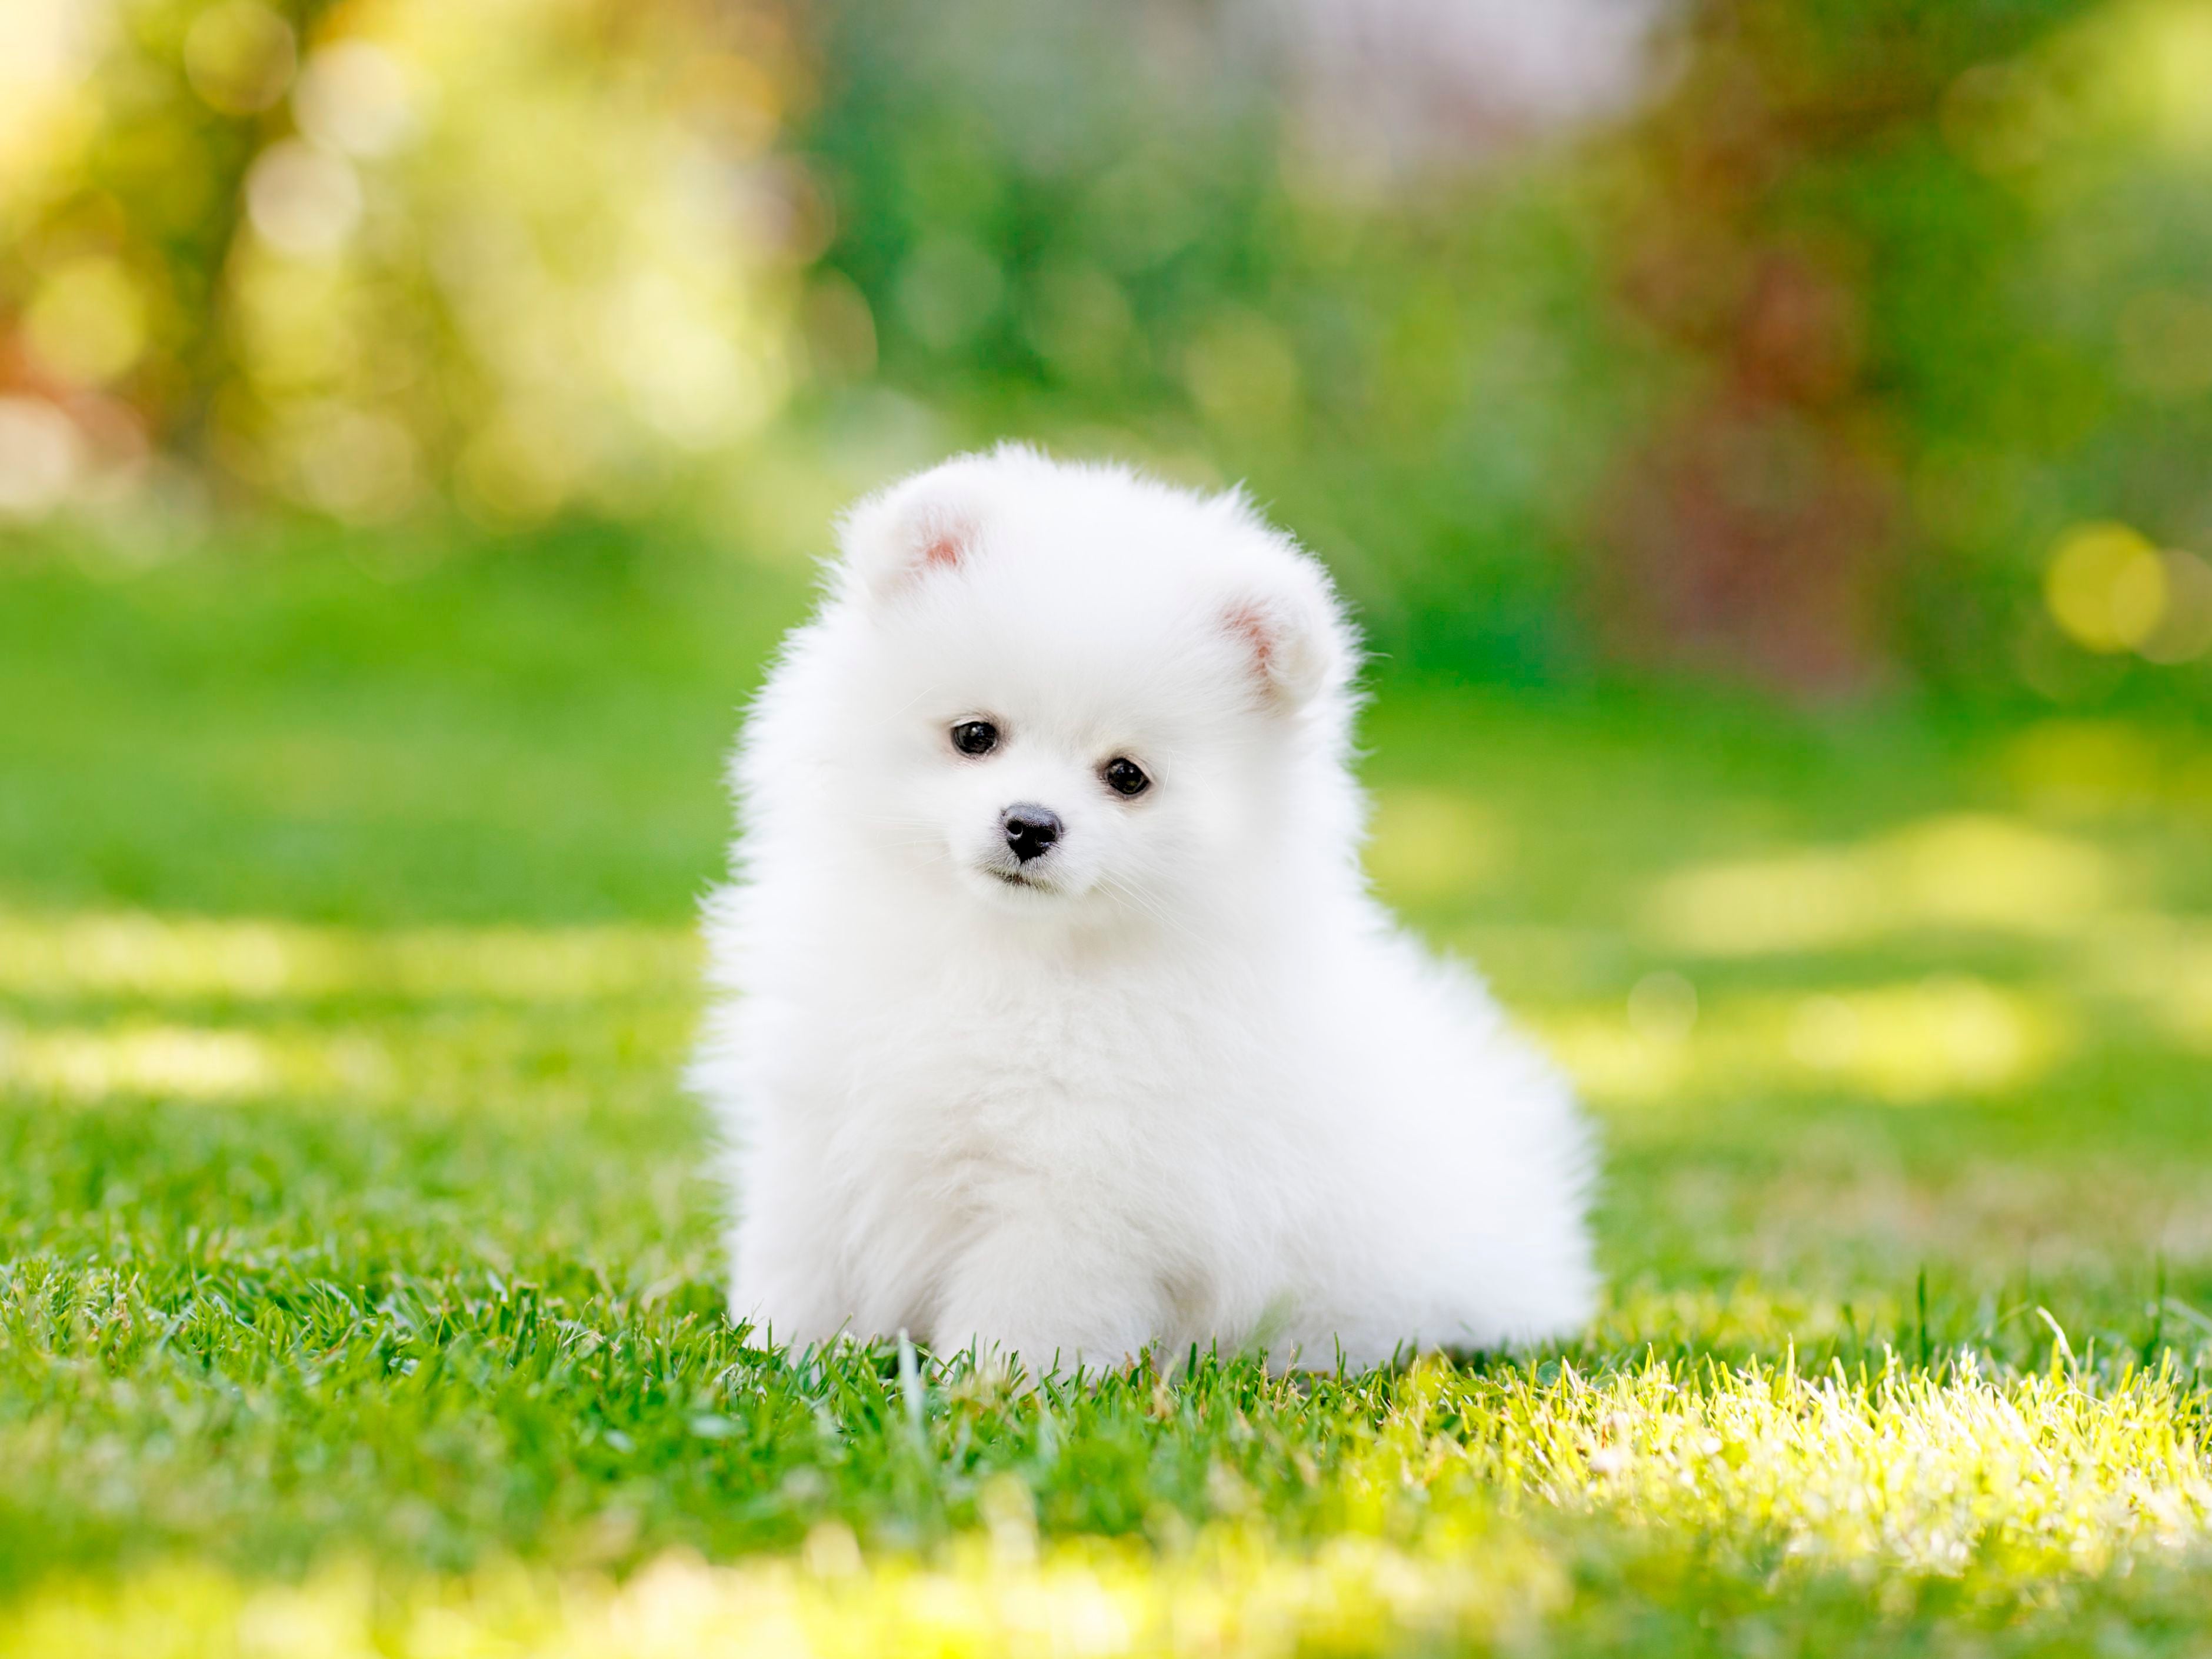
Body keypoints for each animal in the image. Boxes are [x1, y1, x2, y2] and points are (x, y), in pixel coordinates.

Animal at [690, 449, 1593, 1371]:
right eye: (975, 735)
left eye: (1126, 776)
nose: (1030, 825)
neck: (1005, 956)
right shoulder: (819, 1123)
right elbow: (802, 1255)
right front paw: (779, 1354)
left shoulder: (1084, 1185)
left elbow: (1028, 1305)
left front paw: (989, 1385)